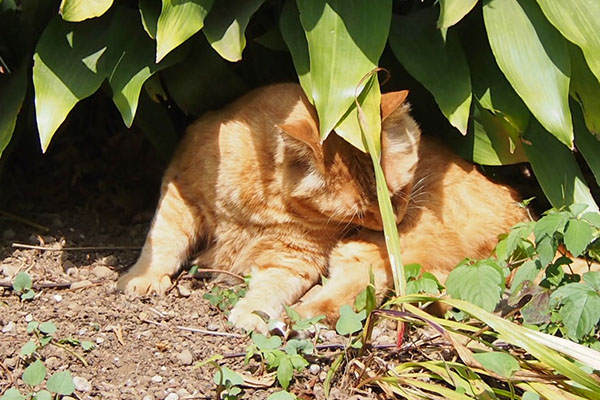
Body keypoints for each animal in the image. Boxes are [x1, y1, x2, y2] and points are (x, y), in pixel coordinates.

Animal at [115, 83, 528, 332]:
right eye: (359, 213)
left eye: (398, 191)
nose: (392, 222)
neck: (260, 201)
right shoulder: (181, 190)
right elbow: (163, 240)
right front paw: (141, 276)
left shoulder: (295, 256)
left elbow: (271, 286)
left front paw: (253, 311)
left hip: (365, 250)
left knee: (352, 292)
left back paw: (296, 315)